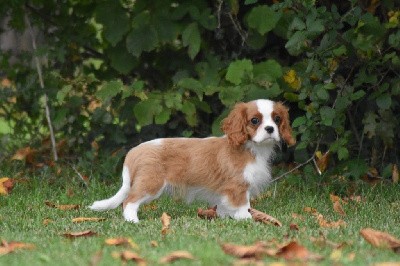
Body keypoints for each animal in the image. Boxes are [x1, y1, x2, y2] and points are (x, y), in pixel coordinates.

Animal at [91, 100, 296, 222]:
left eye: (277, 119)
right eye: (254, 120)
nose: (270, 129)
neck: (251, 148)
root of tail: (134, 151)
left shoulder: (225, 190)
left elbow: (224, 205)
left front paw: (225, 218)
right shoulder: (237, 186)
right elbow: (243, 205)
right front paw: (246, 218)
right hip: (151, 183)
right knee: (129, 201)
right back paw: (133, 220)